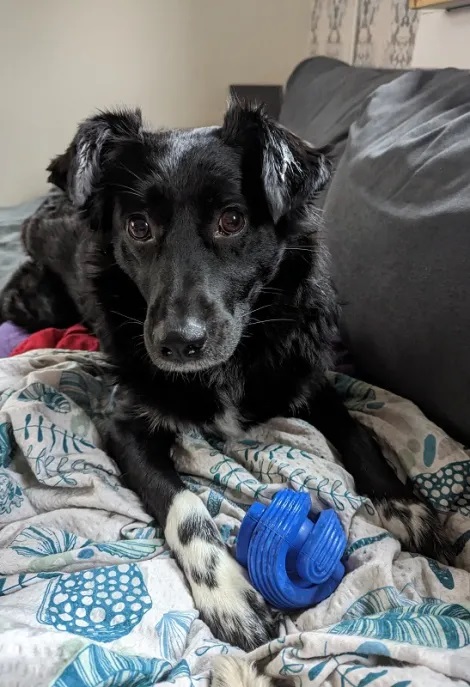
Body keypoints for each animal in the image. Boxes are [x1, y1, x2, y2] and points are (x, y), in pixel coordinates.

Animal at [0, 103, 452, 651]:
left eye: (232, 220)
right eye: (138, 226)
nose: (178, 344)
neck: (231, 360)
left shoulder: (308, 378)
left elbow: (357, 433)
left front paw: (401, 503)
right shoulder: (122, 421)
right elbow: (185, 503)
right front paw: (228, 593)